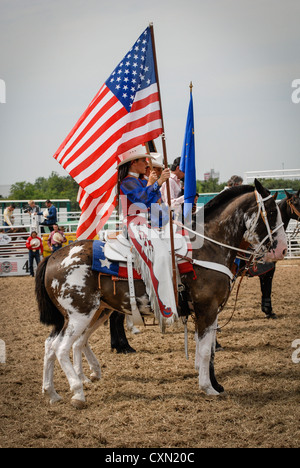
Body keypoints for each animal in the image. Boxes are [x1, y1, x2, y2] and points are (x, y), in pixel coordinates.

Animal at [35, 181, 288, 408]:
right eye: (271, 212)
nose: (282, 249)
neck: (206, 248)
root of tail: (54, 256)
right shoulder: (207, 309)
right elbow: (207, 351)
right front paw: (208, 388)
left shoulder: (207, 313)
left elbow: (205, 349)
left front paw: (210, 382)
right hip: (80, 315)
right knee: (61, 348)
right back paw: (78, 392)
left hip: (89, 314)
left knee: (53, 345)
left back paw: (52, 392)